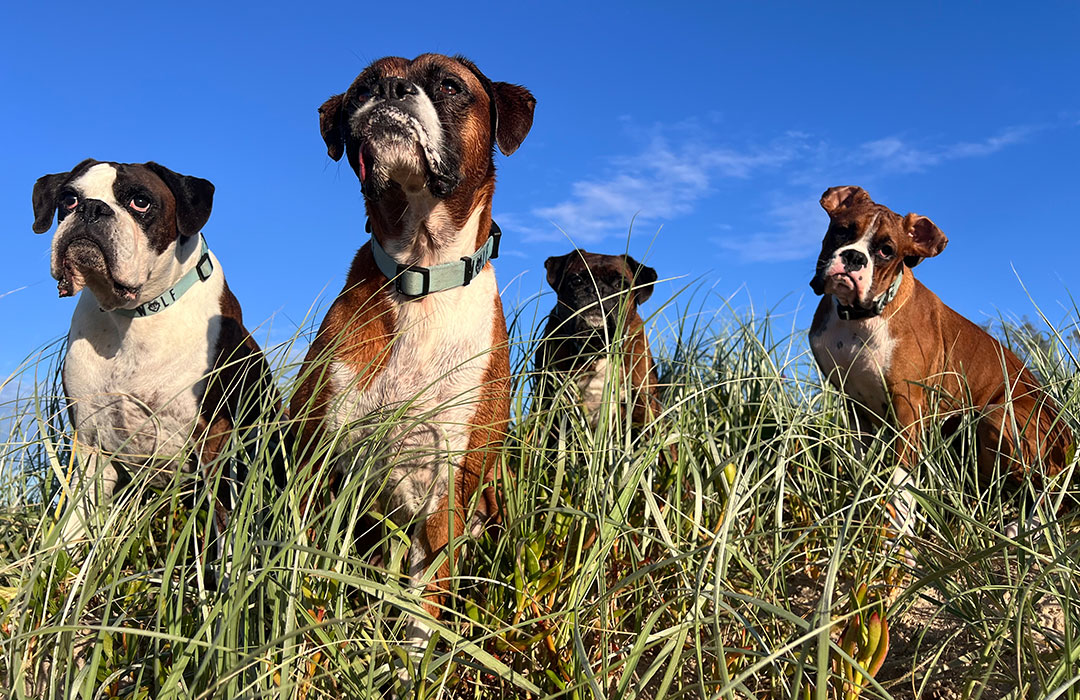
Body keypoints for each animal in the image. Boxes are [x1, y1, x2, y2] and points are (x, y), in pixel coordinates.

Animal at [291, 53, 535, 656]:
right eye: (363, 88)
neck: (421, 276)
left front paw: (412, 664)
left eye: (449, 84)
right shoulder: (315, 464)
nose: (392, 89)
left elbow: (423, 613)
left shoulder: (445, 490)